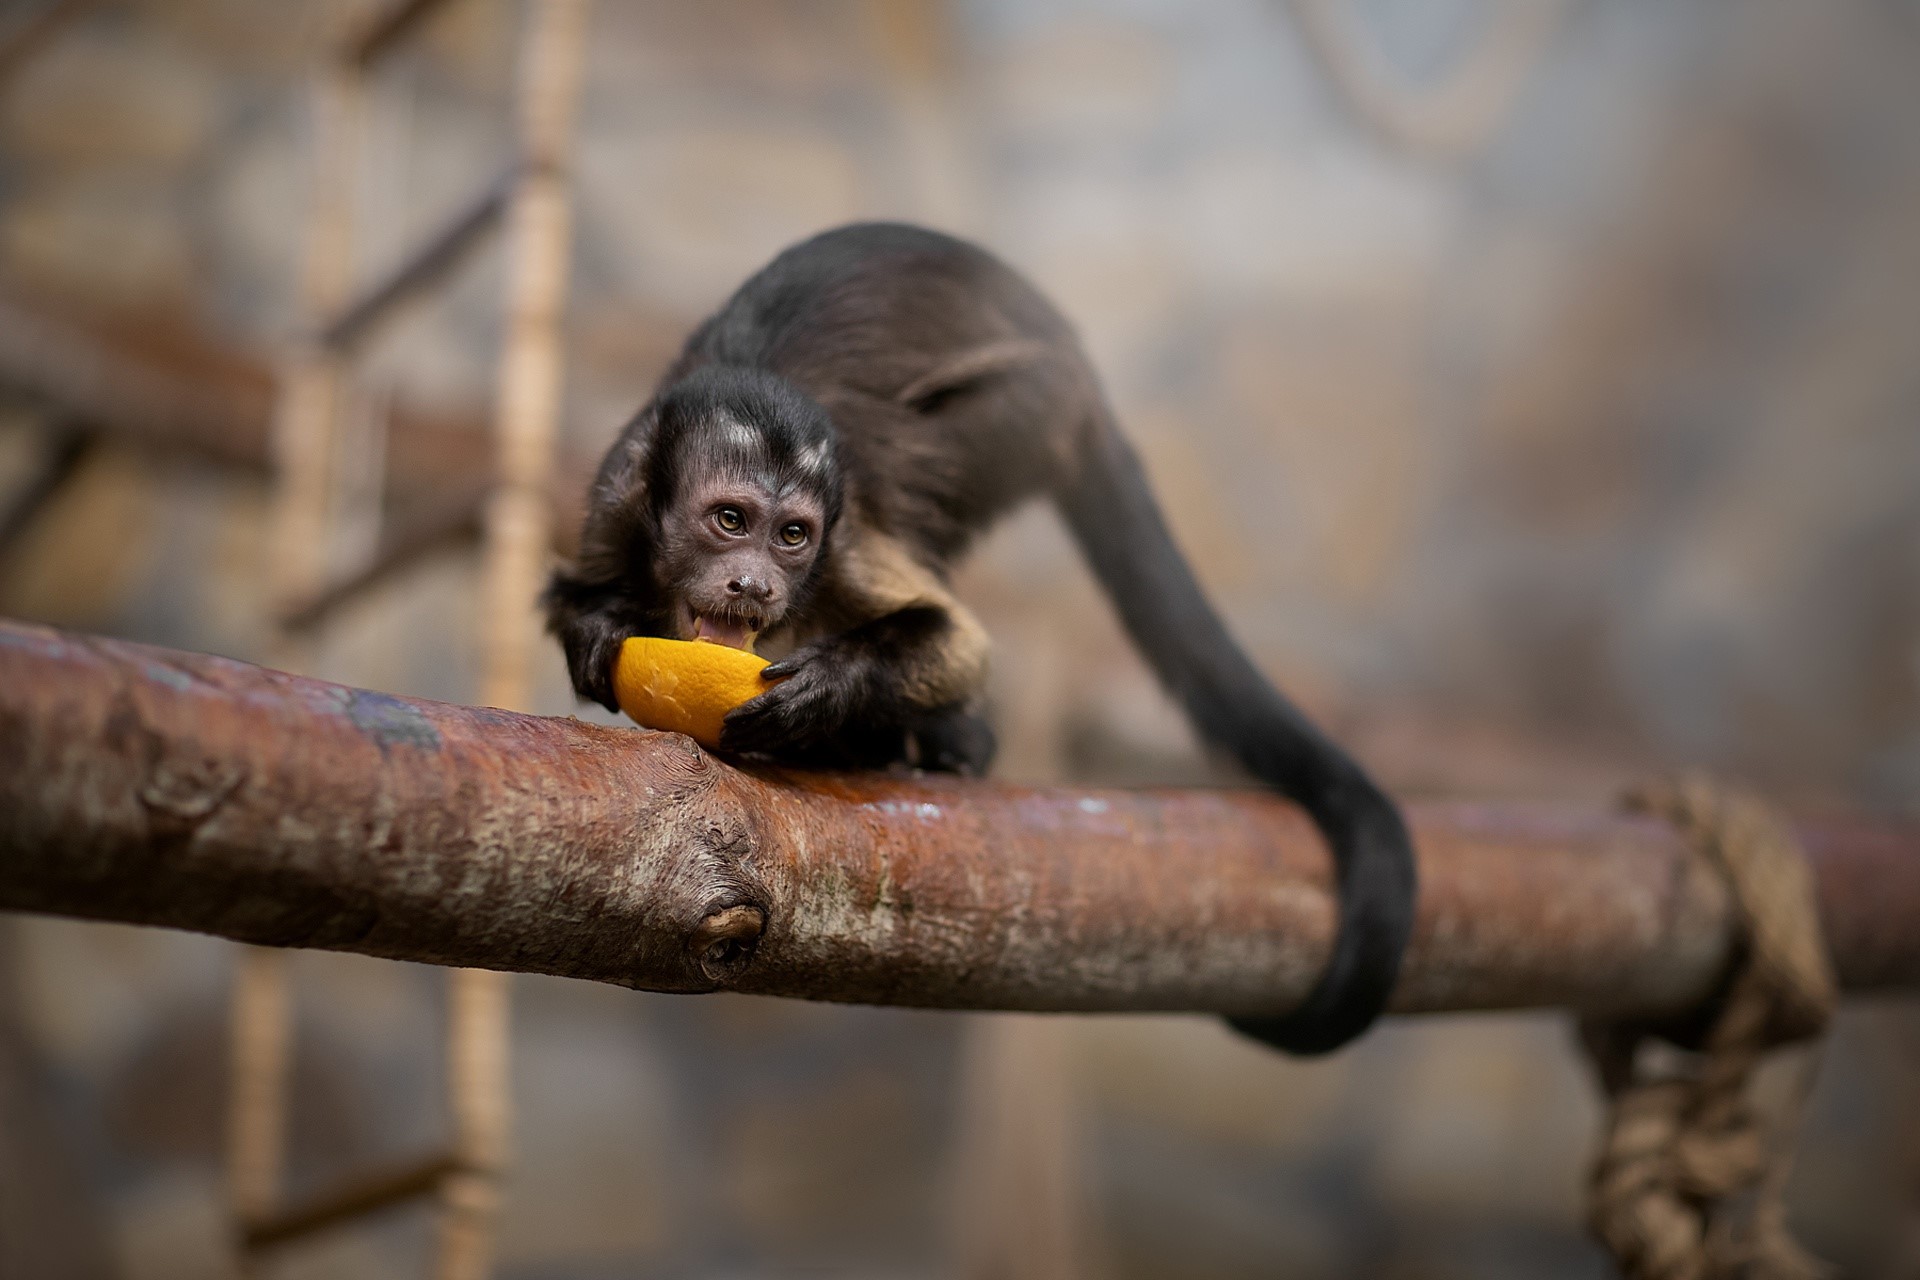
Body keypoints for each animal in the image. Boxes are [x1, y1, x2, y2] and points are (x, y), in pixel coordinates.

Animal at [545, 222, 1416, 1055]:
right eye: (730, 521)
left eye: (791, 535)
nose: (756, 584)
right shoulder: (615, 501)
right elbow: (578, 595)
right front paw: (600, 625)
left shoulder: (844, 537)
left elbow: (960, 645)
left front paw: (828, 692)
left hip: (1030, 408)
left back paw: (923, 739)